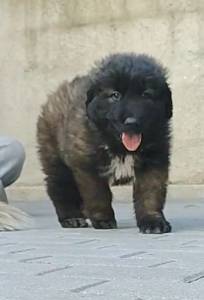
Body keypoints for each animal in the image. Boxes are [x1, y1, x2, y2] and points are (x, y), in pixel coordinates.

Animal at [36, 52, 172, 233]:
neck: (119, 147)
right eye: (115, 95)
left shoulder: (154, 162)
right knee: (60, 188)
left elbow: (150, 194)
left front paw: (153, 221)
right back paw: (71, 218)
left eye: (146, 94)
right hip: (56, 160)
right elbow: (98, 195)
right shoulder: (87, 166)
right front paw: (103, 219)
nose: (131, 122)